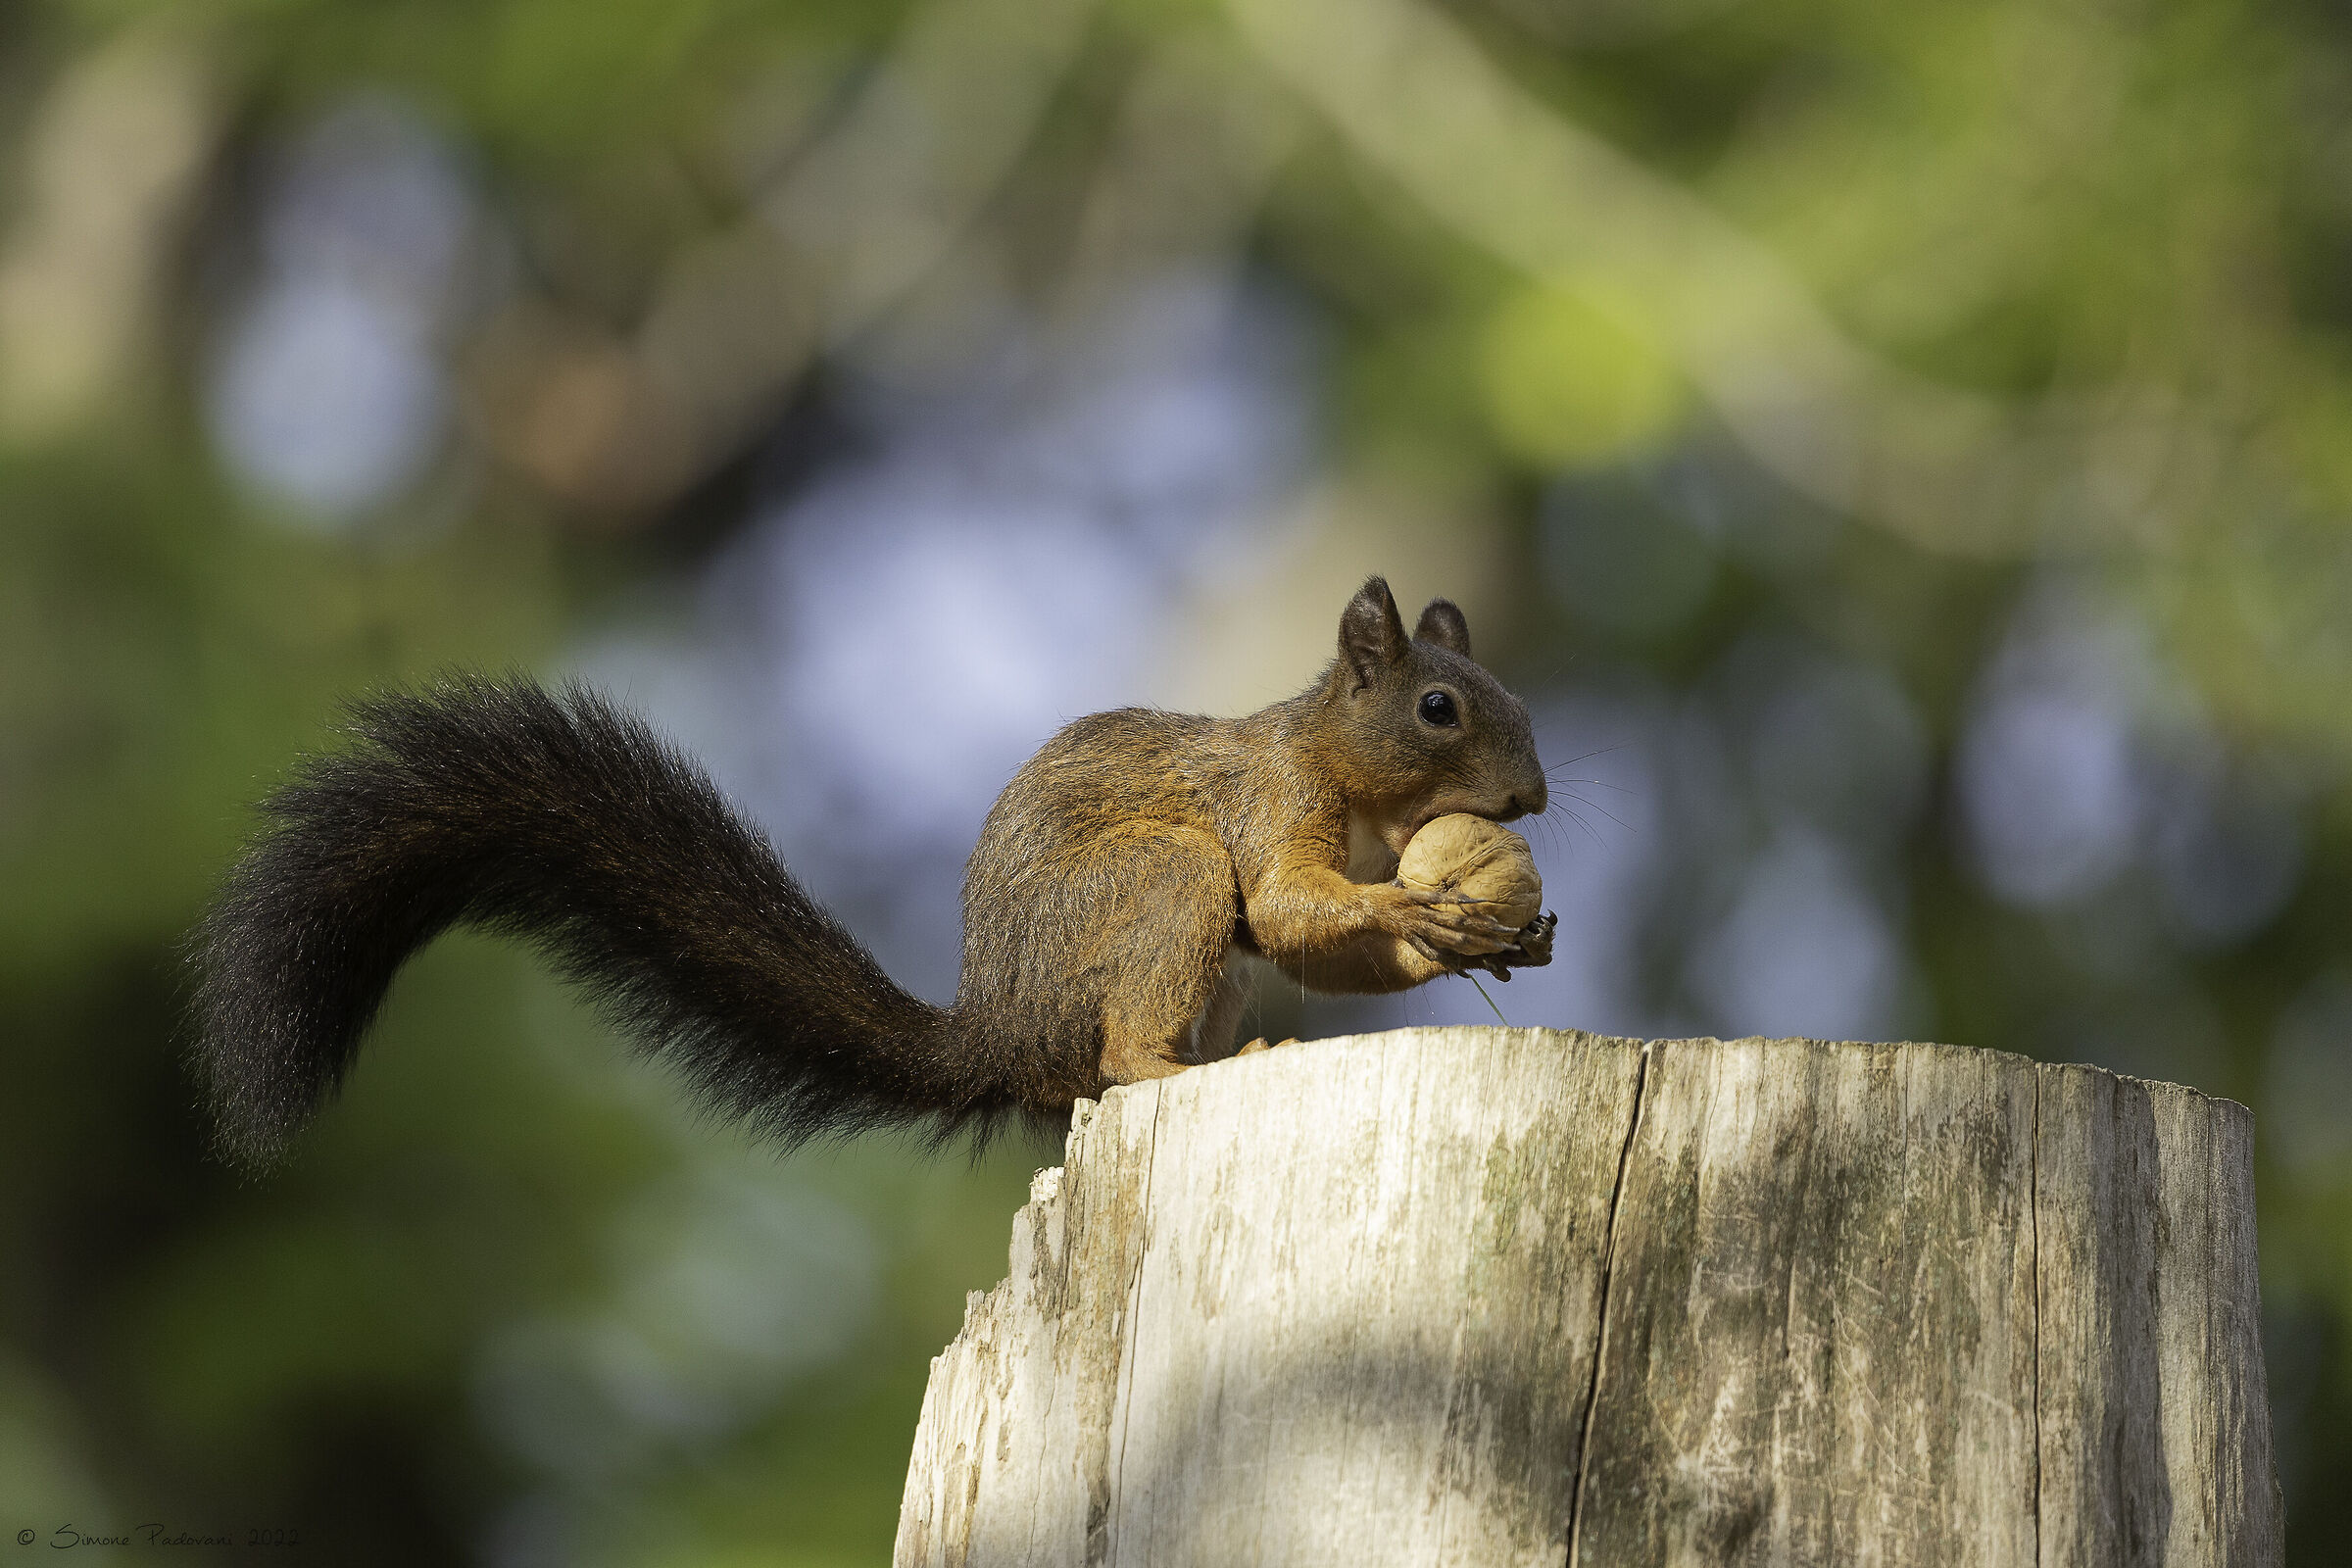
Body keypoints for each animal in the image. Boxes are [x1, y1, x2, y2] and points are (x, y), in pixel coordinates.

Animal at [190, 575, 1556, 1163]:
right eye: (1439, 707)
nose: (1534, 799)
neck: (1335, 758)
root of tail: (995, 1033)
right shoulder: (1268, 802)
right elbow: (1285, 907)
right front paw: (1426, 901)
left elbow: (1334, 955)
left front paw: (1492, 936)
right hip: (1157, 882)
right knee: (1121, 1053)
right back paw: (1181, 1065)